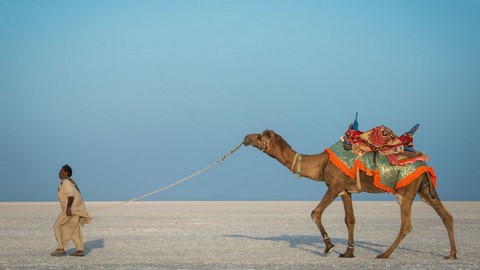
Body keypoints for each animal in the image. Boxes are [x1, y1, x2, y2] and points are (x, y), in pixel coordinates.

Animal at [244, 130, 458, 260]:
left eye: (261, 136)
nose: (246, 137)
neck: (320, 163)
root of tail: (425, 165)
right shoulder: (345, 191)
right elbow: (350, 220)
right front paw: (348, 252)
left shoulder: (334, 185)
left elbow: (315, 213)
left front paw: (329, 246)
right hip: (424, 189)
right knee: (446, 216)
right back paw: (452, 255)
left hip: (407, 190)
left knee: (406, 224)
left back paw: (384, 254)